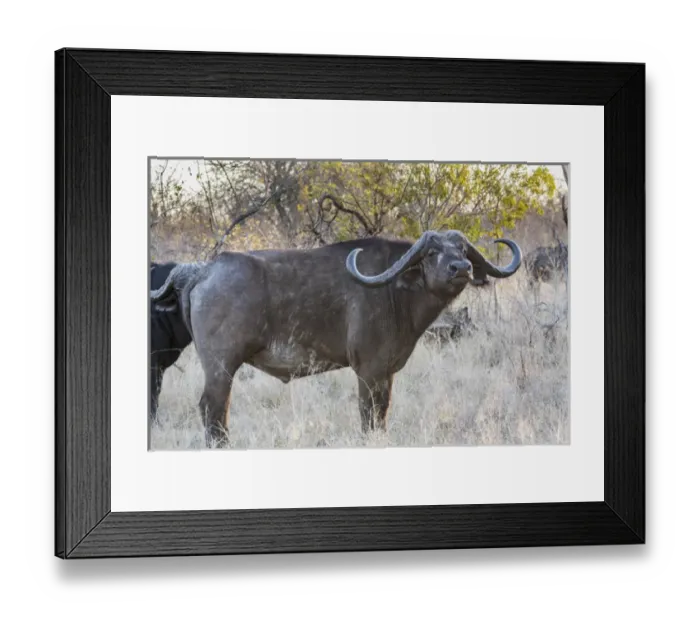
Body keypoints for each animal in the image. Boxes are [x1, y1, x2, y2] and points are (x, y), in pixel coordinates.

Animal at [151, 231, 521, 447]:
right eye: (431, 253)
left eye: (462, 249)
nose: (461, 269)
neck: (395, 291)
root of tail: (205, 270)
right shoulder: (368, 371)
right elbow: (368, 415)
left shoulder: (386, 373)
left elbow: (382, 414)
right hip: (221, 367)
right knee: (213, 408)